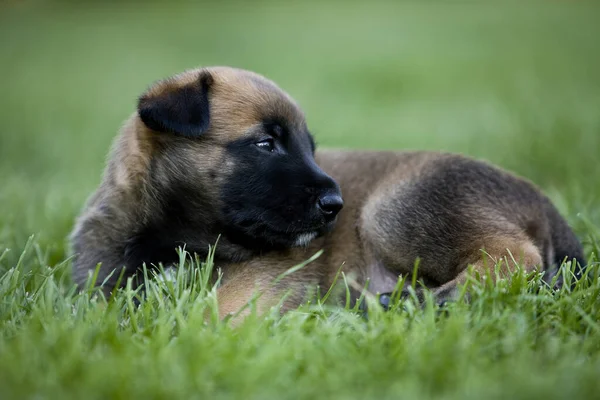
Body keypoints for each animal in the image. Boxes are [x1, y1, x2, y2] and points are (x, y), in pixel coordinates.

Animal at [70, 66, 584, 318]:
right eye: (266, 143)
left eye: (309, 148)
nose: (335, 205)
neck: (175, 238)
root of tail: (543, 202)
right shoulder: (100, 278)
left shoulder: (267, 278)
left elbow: (217, 312)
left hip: (393, 209)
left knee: (514, 256)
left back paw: (422, 302)